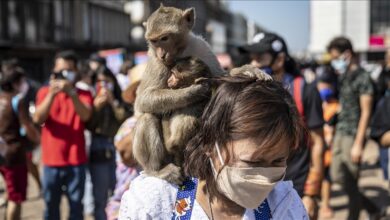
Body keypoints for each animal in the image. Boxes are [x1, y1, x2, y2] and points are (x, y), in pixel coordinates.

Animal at [133, 4, 224, 184]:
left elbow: (221, 78)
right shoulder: (156, 62)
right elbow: (143, 100)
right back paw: (157, 170)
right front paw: (193, 91)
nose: (162, 54)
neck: (180, 51)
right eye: (153, 41)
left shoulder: (201, 46)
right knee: (147, 117)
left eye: (164, 38)